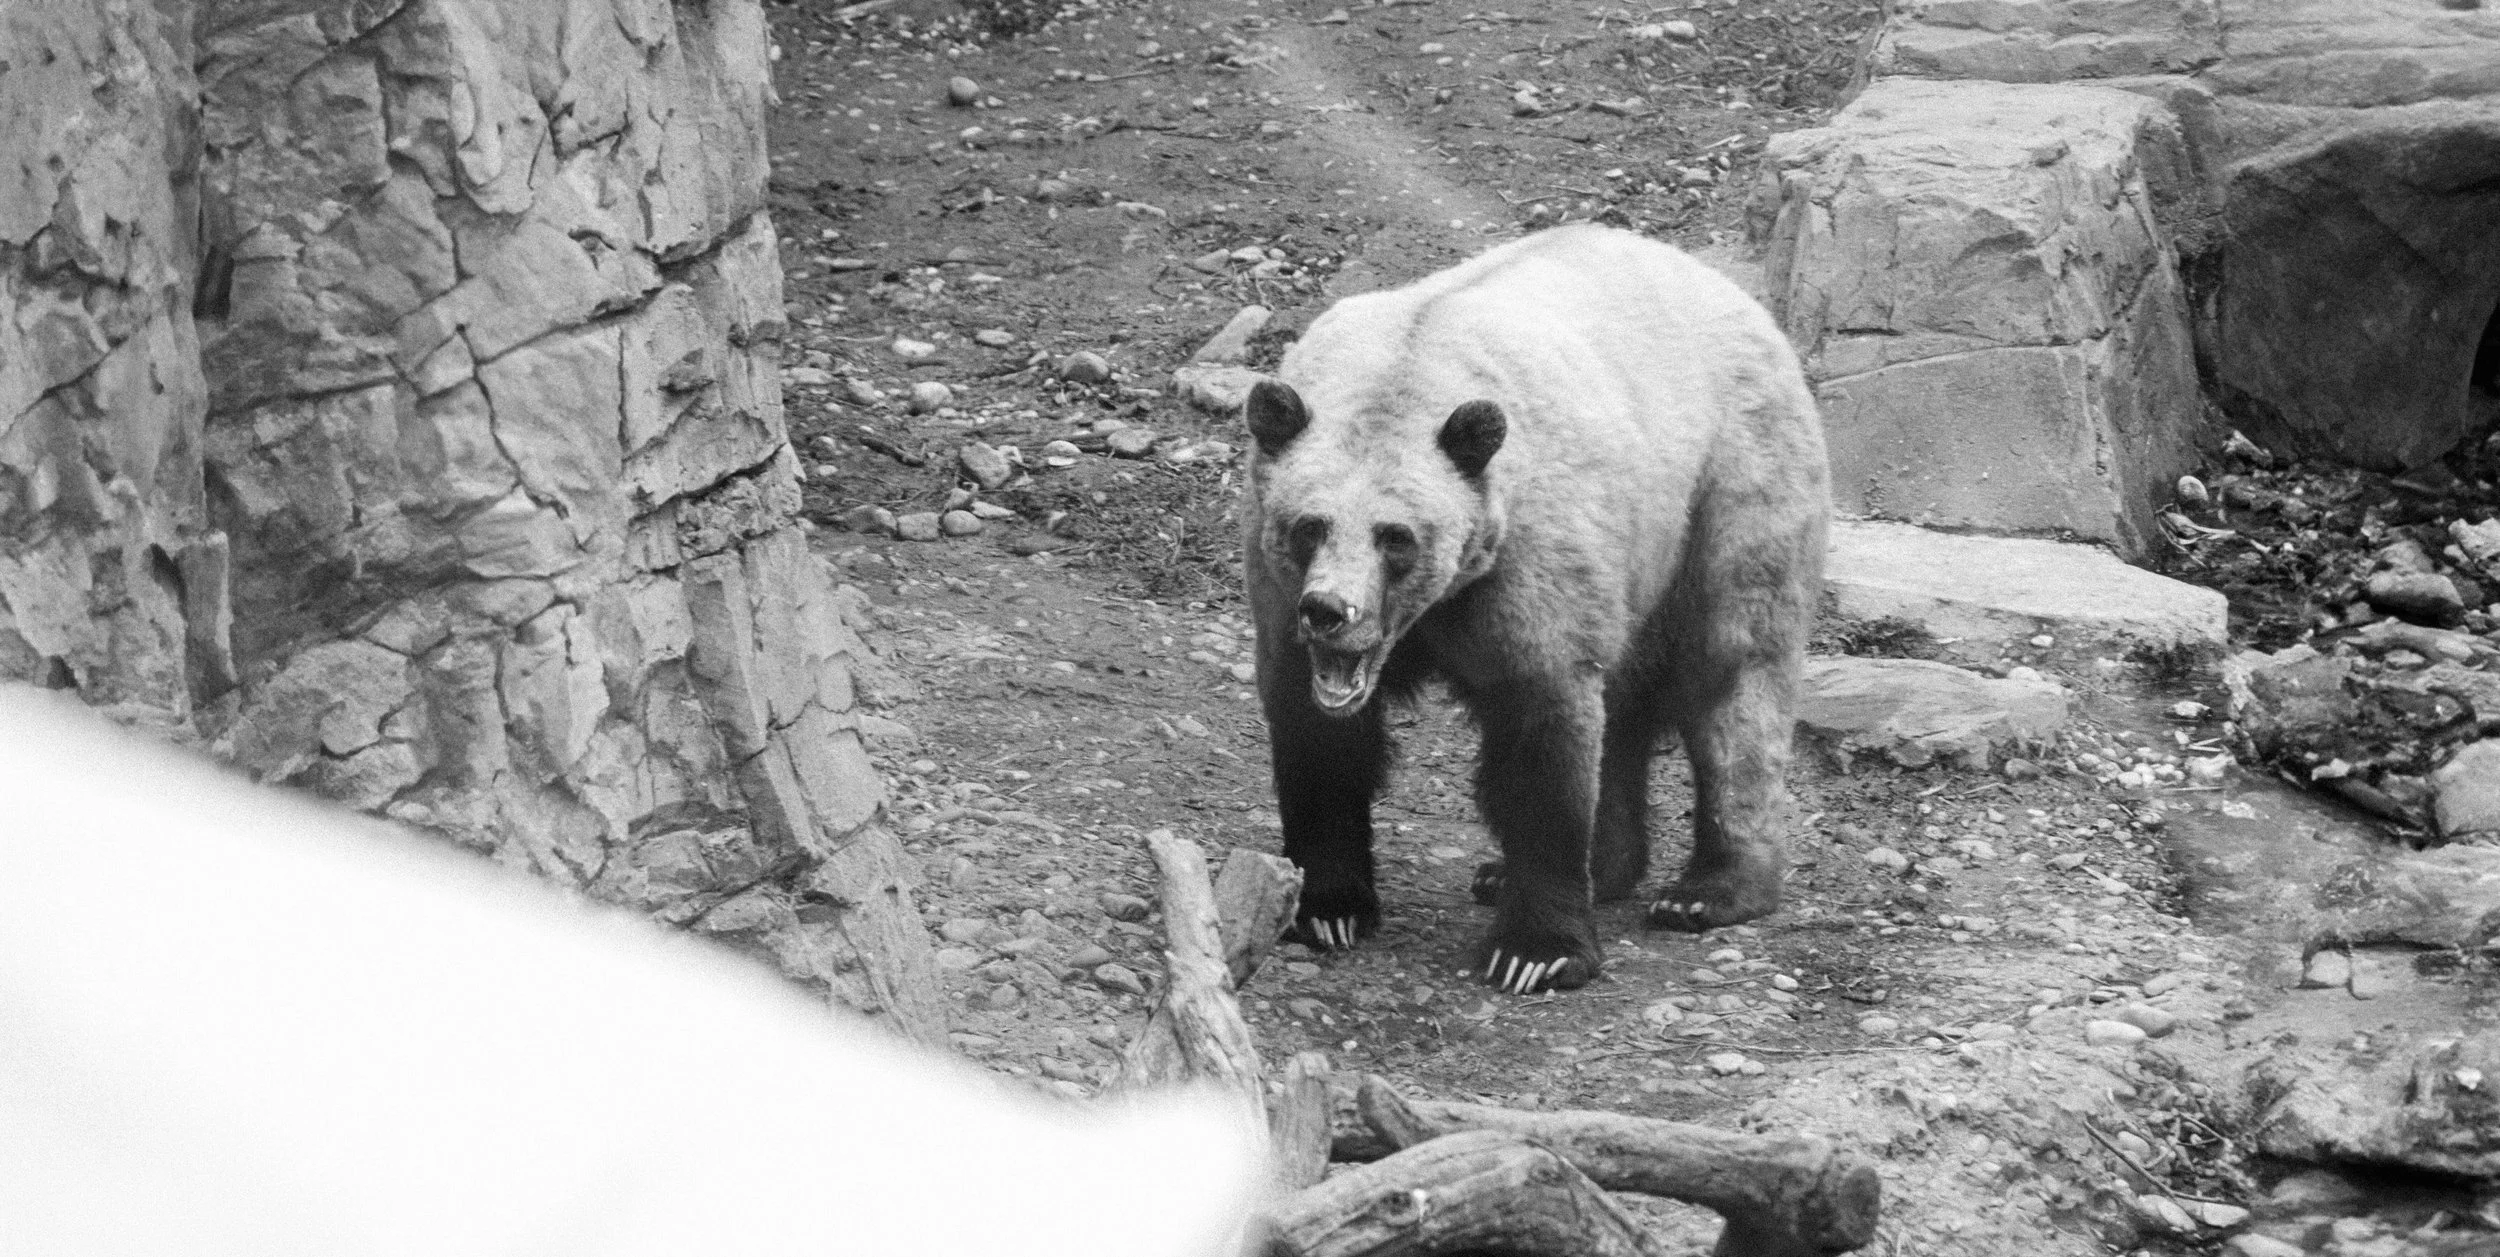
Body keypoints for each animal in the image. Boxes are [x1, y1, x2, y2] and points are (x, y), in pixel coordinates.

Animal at [1242, 224, 1829, 995]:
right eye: (1309, 526)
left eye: (1395, 536)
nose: (1330, 610)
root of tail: (1727, 288)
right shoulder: (1281, 598)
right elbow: (1320, 742)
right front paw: (1328, 907)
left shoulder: (1528, 558)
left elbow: (1542, 734)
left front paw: (1536, 951)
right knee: (1627, 704)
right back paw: (1582, 868)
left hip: (1730, 481)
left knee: (1736, 676)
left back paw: (1711, 888)